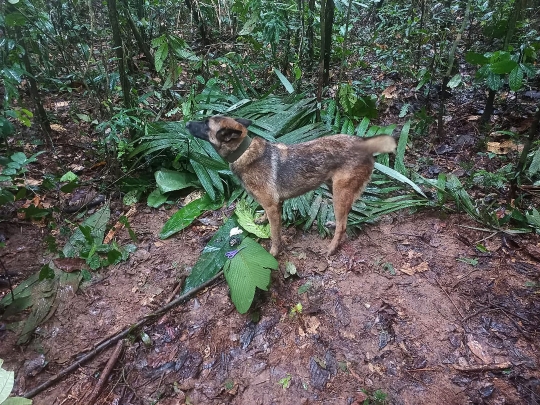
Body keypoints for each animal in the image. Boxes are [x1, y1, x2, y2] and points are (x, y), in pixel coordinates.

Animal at [187, 115, 396, 258]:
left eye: (205, 123)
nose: (187, 123)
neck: (243, 152)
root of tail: (364, 143)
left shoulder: (272, 206)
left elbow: (274, 234)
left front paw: (273, 252)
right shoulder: (274, 205)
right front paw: (261, 220)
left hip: (339, 192)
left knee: (343, 225)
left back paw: (331, 248)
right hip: (334, 188)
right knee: (345, 215)